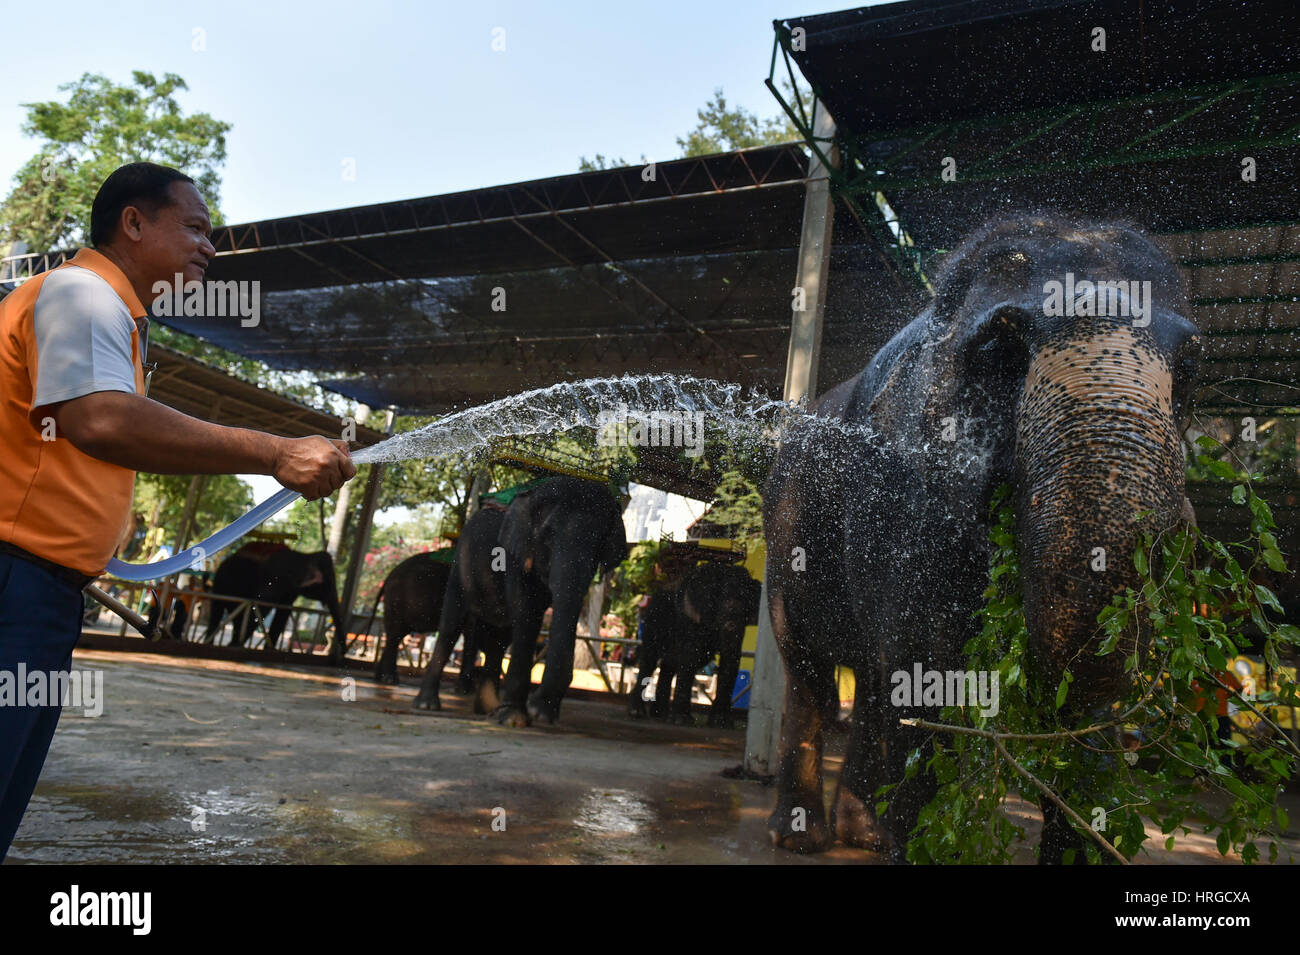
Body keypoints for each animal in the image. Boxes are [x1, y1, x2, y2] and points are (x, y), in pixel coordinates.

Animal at [205, 540, 345, 660]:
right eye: (328, 582)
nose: (342, 653)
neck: (304, 556)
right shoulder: (275, 577)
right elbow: (263, 606)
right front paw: (234, 646)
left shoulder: (291, 589)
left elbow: (284, 611)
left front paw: (269, 650)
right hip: (222, 581)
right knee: (220, 610)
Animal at [410, 478, 624, 722]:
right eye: (548, 535)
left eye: (601, 544)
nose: (537, 706)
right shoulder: (513, 554)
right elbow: (528, 615)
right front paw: (516, 718)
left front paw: (534, 714)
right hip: (460, 564)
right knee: (451, 626)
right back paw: (427, 705)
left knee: (498, 639)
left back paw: (488, 710)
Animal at [629, 563, 759, 727]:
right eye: (719, 598)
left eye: (747, 602)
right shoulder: (690, 618)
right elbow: (690, 657)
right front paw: (680, 721)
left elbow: (731, 660)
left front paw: (721, 723)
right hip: (652, 621)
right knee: (649, 660)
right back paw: (637, 713)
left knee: (668, 666)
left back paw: (660, 714)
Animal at [764, 216, 1201, 867]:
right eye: (1000, 350)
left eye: (1189, 371)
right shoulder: (901, 497)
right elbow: (927, 667)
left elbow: (1091, 709)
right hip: (785, 535)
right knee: (811, 669)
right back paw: (800, 839)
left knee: (871, 678)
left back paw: (860, 835)